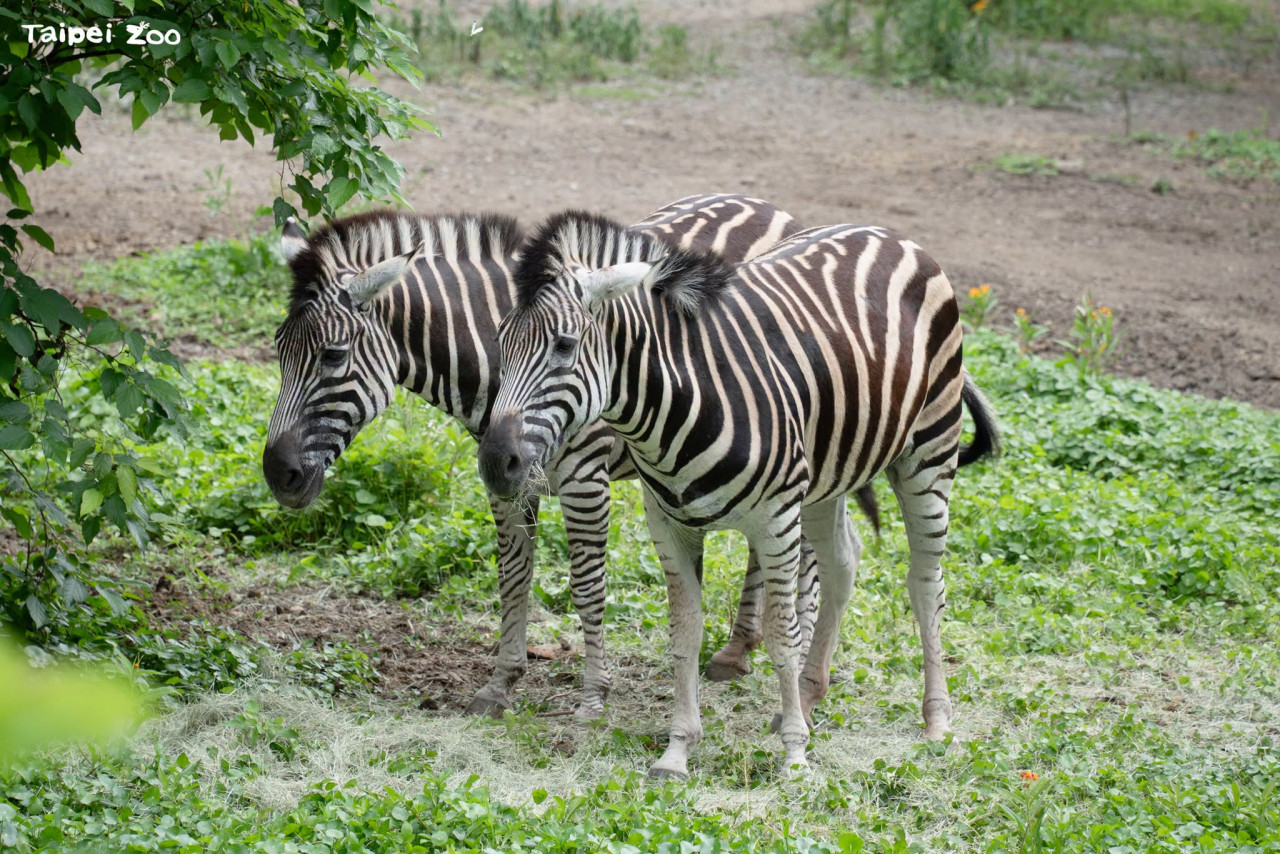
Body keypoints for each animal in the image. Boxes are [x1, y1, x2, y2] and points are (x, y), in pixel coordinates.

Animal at [261, 194, 876, 719]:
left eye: (333, 355)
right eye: (277, 348)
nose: (277, 474)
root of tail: (766, 204)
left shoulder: (585, 480)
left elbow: (586, 585)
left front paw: (594, 695)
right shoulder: (505, 481)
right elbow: (512, 576)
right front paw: (501, 683)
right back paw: (737, 649)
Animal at [476, 211, 1000, 777]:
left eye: (565, 346)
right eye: (500, 341)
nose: (495, 462)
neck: (681, 399)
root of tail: (890, 233)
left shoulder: (776, 521)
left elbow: (781, 635)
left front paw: (794, 757)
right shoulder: (669, 525)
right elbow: (684, 633)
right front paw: (678, 750)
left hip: (929, 451)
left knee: (925, 585)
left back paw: (935, 721)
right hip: (828, 475)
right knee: (843, 562)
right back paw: (809, 698)